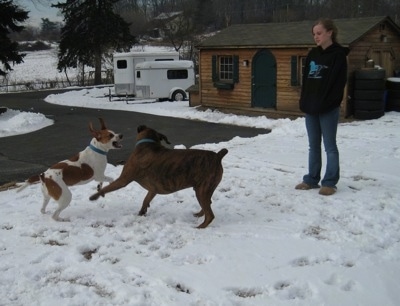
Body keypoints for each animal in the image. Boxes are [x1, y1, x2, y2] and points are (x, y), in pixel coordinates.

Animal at [90, 124, 228, 227]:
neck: (148, 143)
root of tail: (217, 156)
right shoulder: (153, 189)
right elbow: (146, 199)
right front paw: (142, 212)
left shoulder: (123, 180)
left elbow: (107, 188)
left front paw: (94, 196)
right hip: (203, 190)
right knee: (208, 204)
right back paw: (199, 215)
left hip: (202, 191)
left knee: (210, 215)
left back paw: (200, 226)